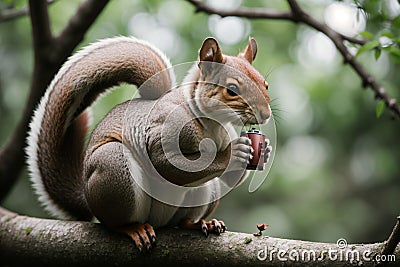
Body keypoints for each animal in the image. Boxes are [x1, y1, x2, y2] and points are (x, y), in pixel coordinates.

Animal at [26, 35, 272, 251]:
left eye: (265, 84)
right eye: (232, 90)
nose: (266, 114)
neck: (212, 124)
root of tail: (87, 197)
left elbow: (229, 178)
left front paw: (263, 150)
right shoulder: (164, 129)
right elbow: (164, 163)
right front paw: (233, 152)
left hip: (205, 192)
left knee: (184, 219)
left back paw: (201, 224)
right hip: (113, 167)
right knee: (113, 223)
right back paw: (133, 229)